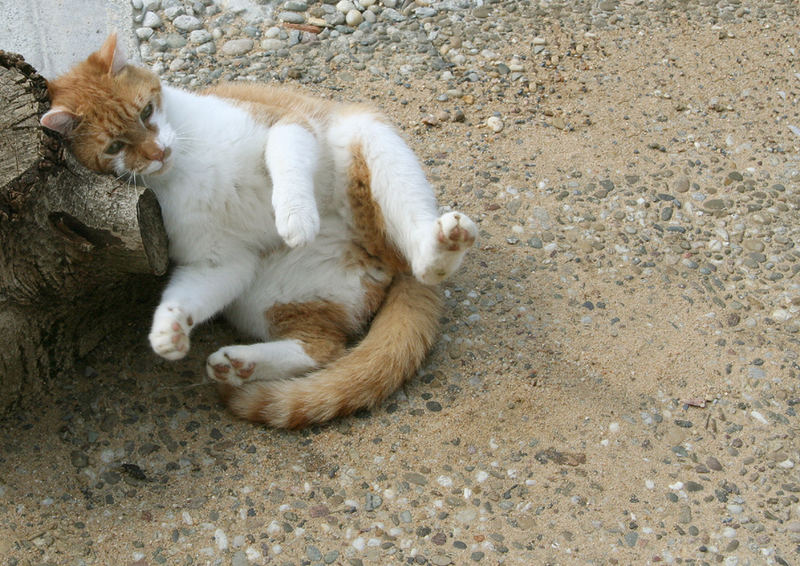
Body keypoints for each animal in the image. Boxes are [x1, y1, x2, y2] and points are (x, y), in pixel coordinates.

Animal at [40, 33, 476, 428]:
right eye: (115, 147)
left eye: (147, 111)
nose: (158, 153)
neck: (183, 167)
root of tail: (376, 253)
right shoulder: (220, 261)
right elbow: (187, 293)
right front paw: (169, 327)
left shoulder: (285, 123)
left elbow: (285, 156)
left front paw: (295, 216)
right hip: (271, 296)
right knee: (322, 347)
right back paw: (240, 365)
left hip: (371, 143)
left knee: (414, 249)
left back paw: (438, 249)